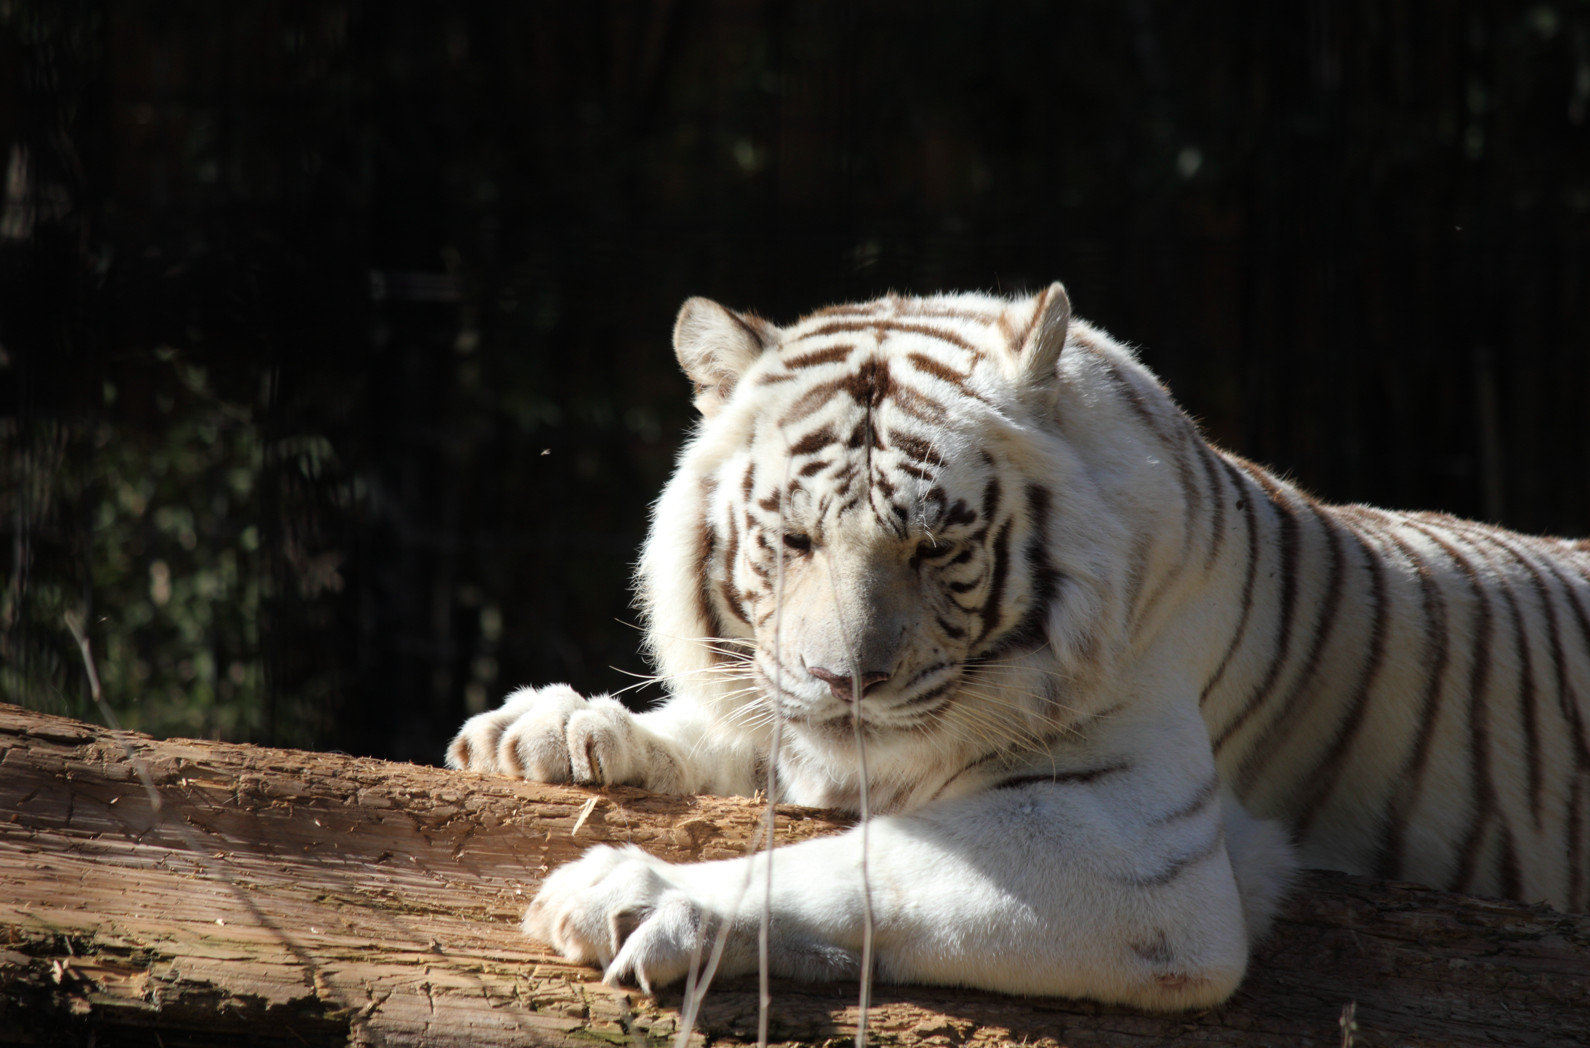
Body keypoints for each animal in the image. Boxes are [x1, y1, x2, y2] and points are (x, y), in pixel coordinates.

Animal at [447, 283, 1590, 1011]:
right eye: (795, 539)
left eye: (934, 544)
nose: (847, 679)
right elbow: (729, 730)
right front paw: (546, 727)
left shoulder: (1137, 851)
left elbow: (864, 863)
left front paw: (632, 894)